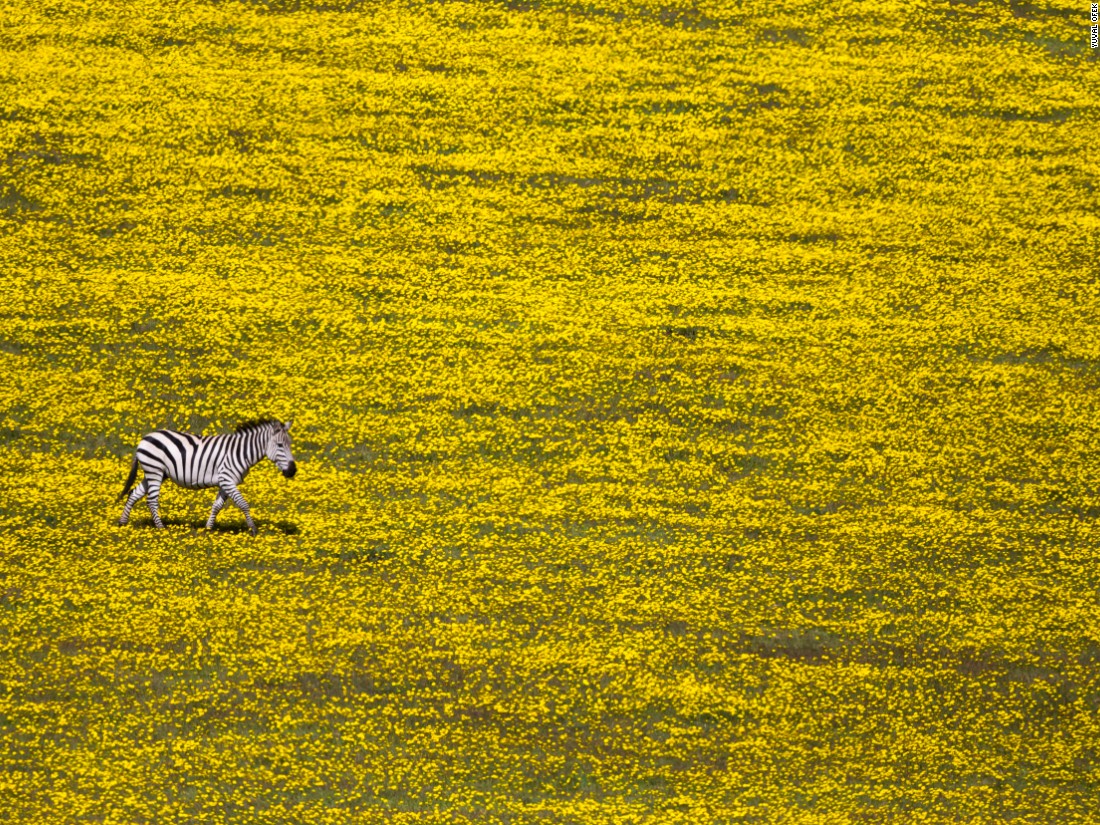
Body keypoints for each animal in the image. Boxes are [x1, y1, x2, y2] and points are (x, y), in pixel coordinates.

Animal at [117, 418, 297, 536]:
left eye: (289, 444)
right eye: (280, 445)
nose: (292, 471)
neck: (241, 452)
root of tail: (144, 438)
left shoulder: (225, 482)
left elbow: (217, 506)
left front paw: (208, 529)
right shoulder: (227, 479)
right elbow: (243, 504)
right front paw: (253, 530)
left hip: (156, 473)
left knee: (134, 493)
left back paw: (122, 523)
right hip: (154, 470)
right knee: (151, 500)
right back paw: (161, 529)